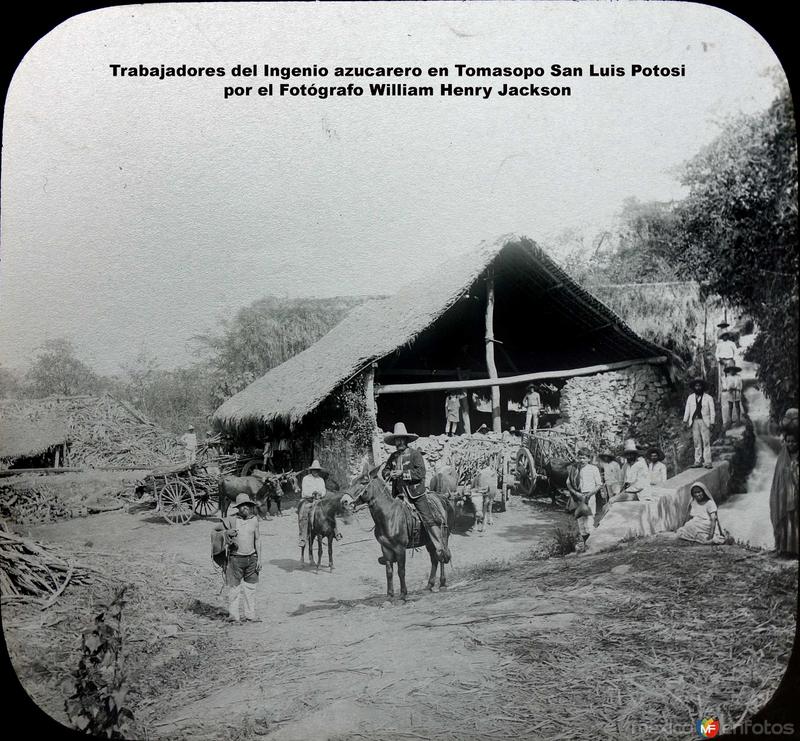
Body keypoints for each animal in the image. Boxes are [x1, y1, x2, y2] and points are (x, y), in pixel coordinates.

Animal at [344, 468, 456, 600]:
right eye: (352, 482)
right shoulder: (386, 548)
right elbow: (389, 572)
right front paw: (390, 595)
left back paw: (442, 583)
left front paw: (403, 594)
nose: (344, 500)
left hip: (443, 536)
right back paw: (430, 584)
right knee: (434, 559)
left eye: (363, 482)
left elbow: (401, 571)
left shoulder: (400, 548)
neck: (389, 516)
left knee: (442, 555)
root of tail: (443, 498)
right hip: (429, 541)